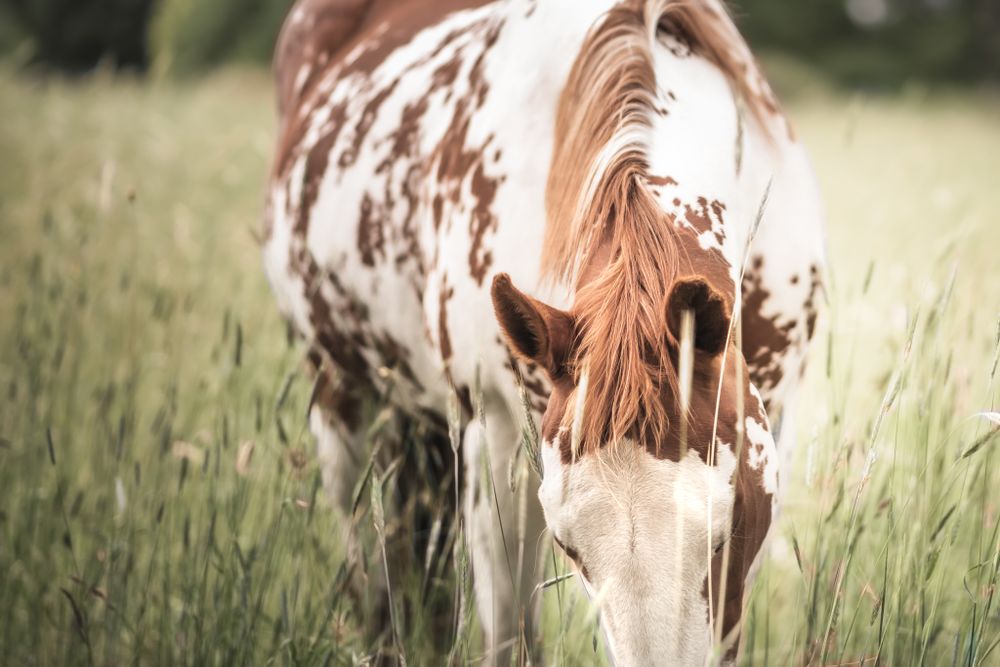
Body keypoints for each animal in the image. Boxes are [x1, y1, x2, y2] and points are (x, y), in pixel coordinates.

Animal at [264, 0, 825, 663]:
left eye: (725, 532)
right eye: (570, 546)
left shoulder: (773, 422)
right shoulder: (495, 437)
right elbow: (506, 628)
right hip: (339, 395)